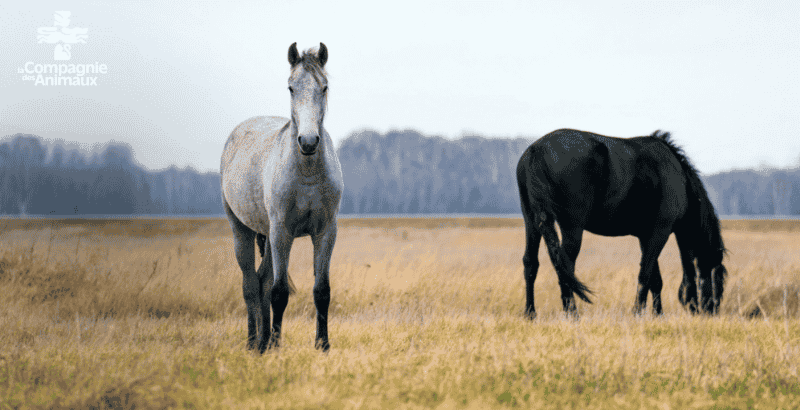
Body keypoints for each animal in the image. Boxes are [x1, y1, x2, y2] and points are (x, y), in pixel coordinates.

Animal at [220, 42, 343, 352]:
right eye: (290, 87)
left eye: (324, 87)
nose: (308, 142)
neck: (307, 172)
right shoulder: (281, 232)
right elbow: (279, 292)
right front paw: (277, 345)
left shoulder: (326, 232)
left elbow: (321, 291)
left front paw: (322, 345)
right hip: (242, 230)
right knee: (251, 285)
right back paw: (254, 342)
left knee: (262, 279)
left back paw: (263, 341)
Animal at [515, 129, 727, 317]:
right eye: (714, 274)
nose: (712, 311)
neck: (680, 180)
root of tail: (537, 150)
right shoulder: (660, 232)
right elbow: (645, 274)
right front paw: (637, 313)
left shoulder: (646, 237)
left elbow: (655, 279)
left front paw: (658, 314)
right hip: (572, 228)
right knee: (565, 266)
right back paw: (572, 314)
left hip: (531, 222)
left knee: (530, 263)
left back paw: (530, 313)